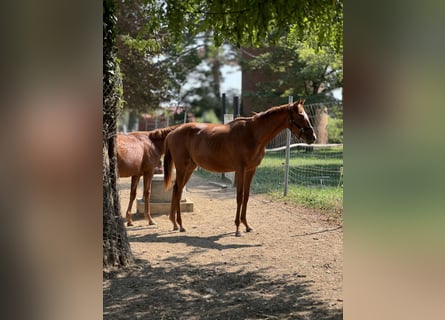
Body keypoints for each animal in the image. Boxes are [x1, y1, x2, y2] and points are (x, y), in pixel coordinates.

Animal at [163, 99, 316, 236]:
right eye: (301, 115)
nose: (312, 137)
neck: (252, 134)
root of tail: (172, 132)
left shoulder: (251, 170)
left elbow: (246, 196)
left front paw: (247, 226)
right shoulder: (240, 170)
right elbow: (239, 196)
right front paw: (237, 229)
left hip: (190, 168)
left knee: (177, 189)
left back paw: (174, 223)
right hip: (182, 167)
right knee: (178, 189)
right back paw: (180, 225)